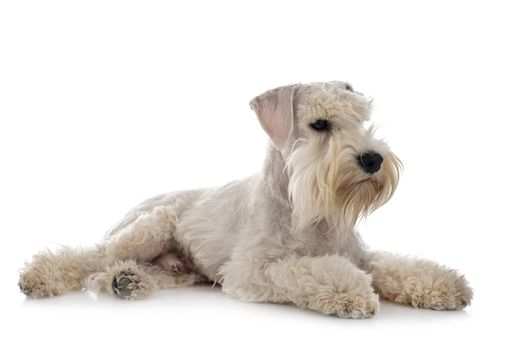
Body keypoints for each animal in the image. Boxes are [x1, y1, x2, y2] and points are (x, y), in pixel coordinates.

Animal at [22, 81, 474, 318]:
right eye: (320, 124)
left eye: (361, 118)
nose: (373, 159)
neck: (305, 211)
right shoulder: (252, 270)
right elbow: (307, 271)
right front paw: (354, 294)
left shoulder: (358, 255)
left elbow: (397, 267)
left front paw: (446, 285)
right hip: (150, 227)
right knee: (90, 258)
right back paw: (41, 277)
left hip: (178, 265)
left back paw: (128, 281)